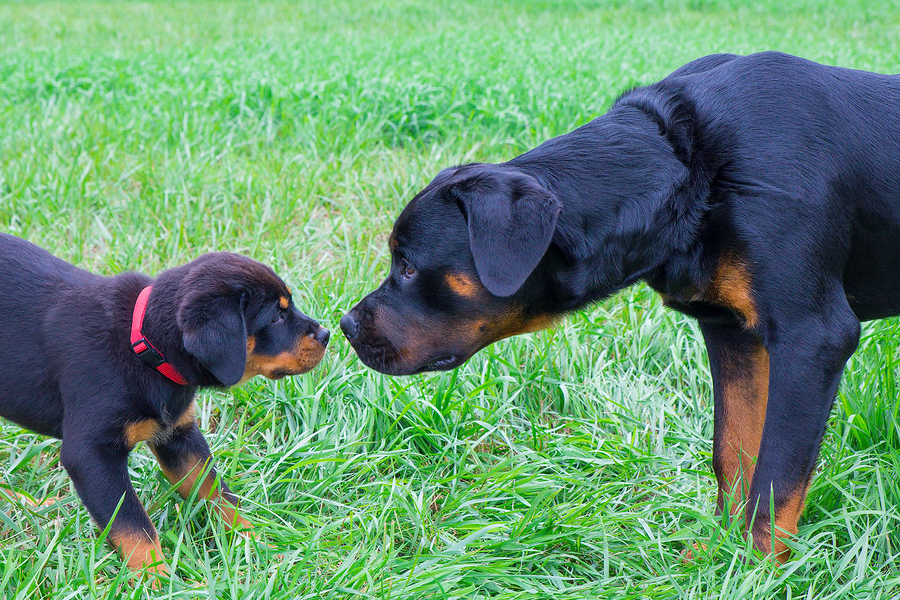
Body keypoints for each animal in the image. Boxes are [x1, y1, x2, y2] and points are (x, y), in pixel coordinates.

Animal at [0, 233, 330, 580]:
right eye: (277, 317)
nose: (326, 334)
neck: (143, 345)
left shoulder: (178, 436)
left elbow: (217, 492)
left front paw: (256, 545)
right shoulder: (92, 453)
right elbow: (133, 525)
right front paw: (155, 577)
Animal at [342, 51, 900, 564]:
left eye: (408, 266)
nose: (345, 325)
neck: (693, 173)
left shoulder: (812, 337)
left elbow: (776, 477)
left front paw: (757, 568)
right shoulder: (731, 332)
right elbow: (733, 452)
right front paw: (718, 555)